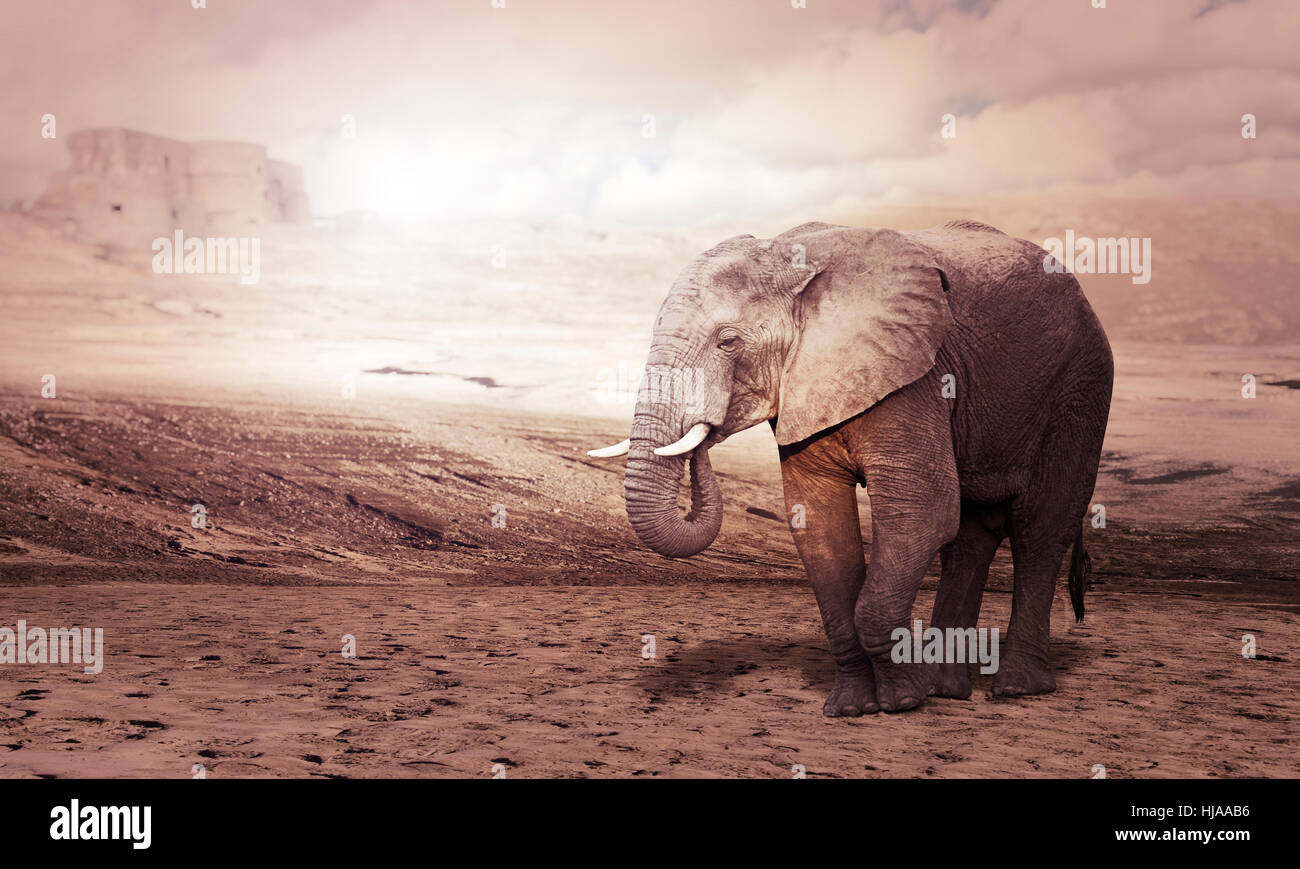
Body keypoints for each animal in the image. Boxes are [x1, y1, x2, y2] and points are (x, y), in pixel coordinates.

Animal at [588, 220, 1113, 716]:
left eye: (728, 341)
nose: (703, 434)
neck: (789, 257)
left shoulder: (914, 374)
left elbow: (921, 512)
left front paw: (902, 700)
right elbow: (819, 523)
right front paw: (852, 708)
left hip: (1080, 386)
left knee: (1040, 527)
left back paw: (1015, 689)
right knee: (970, 536)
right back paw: (946, 690)